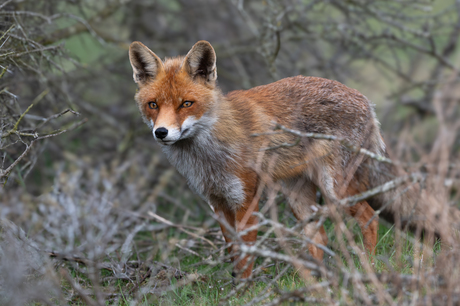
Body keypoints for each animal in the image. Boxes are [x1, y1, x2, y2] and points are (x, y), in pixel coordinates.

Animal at [128, 39, 460, 278]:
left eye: (186, 104)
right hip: (299, 197)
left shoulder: (246, 199)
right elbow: (233, 250)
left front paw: (245, 289)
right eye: (153, 104)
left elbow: (246, 255)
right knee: (320, 237)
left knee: (369, 217)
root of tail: (366, 100)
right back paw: (316, 280)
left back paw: (367, 267)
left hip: (336, 190)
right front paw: (234, 286)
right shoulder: (217, 202)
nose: (161, 132)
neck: (209, 153)